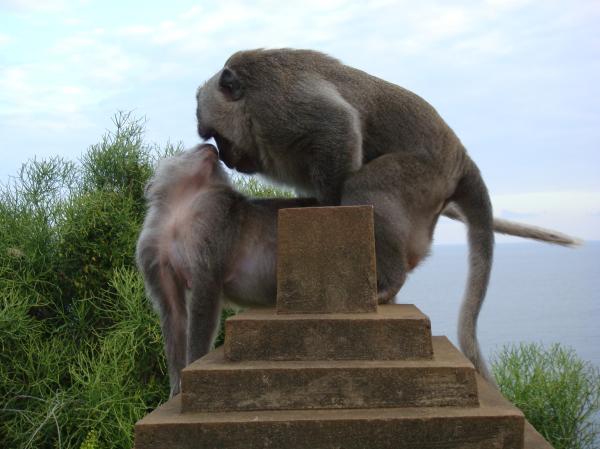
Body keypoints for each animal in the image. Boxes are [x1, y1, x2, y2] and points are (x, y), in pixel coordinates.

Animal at [195, 49, 580, 382]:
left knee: (365, 186)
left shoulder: (278, 104)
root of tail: (461, 158)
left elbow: (337, 127)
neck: (250, 105)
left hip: (423, 174)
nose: (225, 157)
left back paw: (388, 282)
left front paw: (328, 206)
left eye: (216, 135)